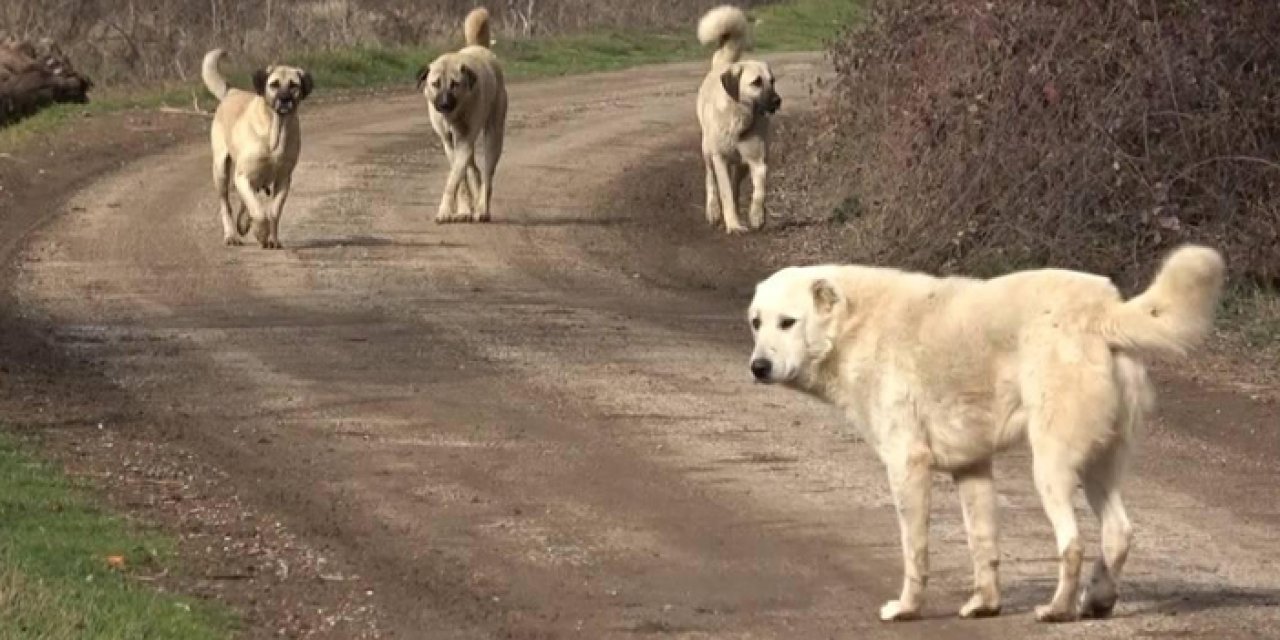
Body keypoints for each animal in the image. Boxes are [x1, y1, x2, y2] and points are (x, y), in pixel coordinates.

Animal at [206, 48, 316, 248]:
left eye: (294, 85)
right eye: (274, 85)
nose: (285, 100)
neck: (276, 131)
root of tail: (232, 91)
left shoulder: (283, 180)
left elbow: (273, 212)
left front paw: (272, 239)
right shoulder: (242, 177)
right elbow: (258, 210)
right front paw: (261, 232)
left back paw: (243, 222)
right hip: (221, 171)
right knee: (227, 205)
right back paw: (231, 235)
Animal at [696, 3, 773, 234]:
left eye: (772, 81)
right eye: (756, 82)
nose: (777, 101)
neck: (740, 119)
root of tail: (724, 64)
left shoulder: (757, 161)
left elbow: (760, 190)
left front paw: (756, 216)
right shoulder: (719, 158)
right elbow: (725, 193)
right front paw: (733, 225)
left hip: (740, 165)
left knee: (736, 184)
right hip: (707, 151)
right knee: (711, 180)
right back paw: (713, 211)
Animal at [747, 247, 1223, 622]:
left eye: (788, 323)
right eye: (756, 323)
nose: (758, 368)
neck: (853, 325)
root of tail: (1102, 309)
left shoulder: (907, 465)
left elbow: (914, 550)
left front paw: (907, 609)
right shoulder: (971, 468)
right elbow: (983, 545)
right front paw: (985, 605)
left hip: (1050, 468)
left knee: (1073, 543)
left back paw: (1057, 610)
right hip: (1098, 465)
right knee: (1118, 534)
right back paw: (1097, 602)